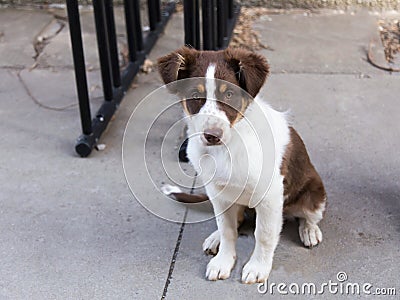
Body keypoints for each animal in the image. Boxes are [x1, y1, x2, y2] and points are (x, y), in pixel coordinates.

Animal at [156, 47, 324, 284]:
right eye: (195, 95)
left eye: (229, 94)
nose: (212, 136)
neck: (227, 148)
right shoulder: (218, 193)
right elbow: (227, 229)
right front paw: (223, 261)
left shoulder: (270, 196)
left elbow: (264, 234)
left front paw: (258, 266)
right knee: (236, 219)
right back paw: (215, 238)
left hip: (314, 192)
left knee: (308, 215)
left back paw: (309, 230)